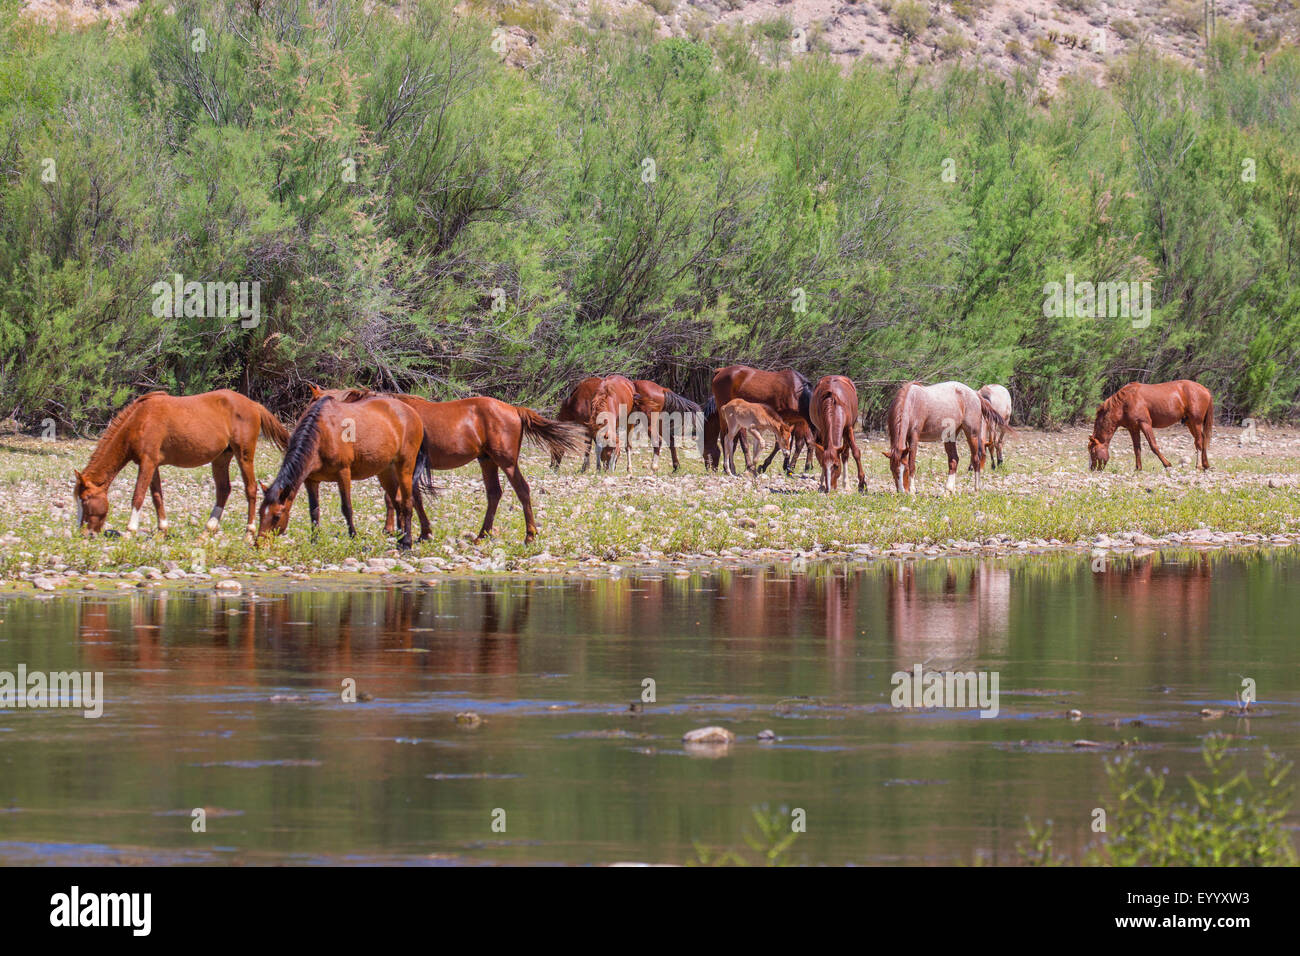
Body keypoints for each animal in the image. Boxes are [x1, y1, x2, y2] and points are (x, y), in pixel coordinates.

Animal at [72, 390, 288, 538]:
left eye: (85, 499)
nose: (84, 533)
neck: (140, 420)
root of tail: (253, 404)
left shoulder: (147, 463)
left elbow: (138, 496)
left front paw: (130, 531)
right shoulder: (152, 464)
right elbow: (157, 496)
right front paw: (162, 529)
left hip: (244, 455)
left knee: (250, 489)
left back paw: (248, 533)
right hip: (221, 458)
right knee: (223, 490)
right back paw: (208, 529)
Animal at [257, 392, 426, 548]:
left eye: (277, 516)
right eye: (259, 512)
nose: (259, 544)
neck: (322, 433)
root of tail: (413, 413)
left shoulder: (343, 473)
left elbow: (347, 508)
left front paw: (353, 537)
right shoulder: (311, 480)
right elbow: (314, 510)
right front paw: (314, 540)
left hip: (405, 468)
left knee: (407, 503)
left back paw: (407, 542)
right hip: (386, 471)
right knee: (397, 502)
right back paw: (399, 538)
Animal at [1081, 382, 1211, 470]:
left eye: (1093, 452)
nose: (1092, 469)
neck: (1125, 403)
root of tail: (1205, 390)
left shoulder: (1145, 424)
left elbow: (1153, 445)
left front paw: (1167, 464)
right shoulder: (1133, 428)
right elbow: (1136, 448)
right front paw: (1138, 468)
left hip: (1196, 422)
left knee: (1199, 442)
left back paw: (1199, 465)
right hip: (1189, 423)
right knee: (1202, 439)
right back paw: (1205, 465)